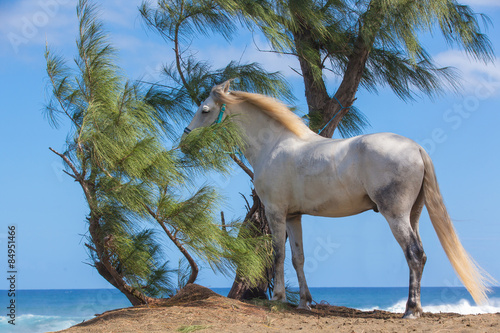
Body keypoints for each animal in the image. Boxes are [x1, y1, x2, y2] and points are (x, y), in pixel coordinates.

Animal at [184, 80, 492, 316]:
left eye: (205, 109)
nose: (186, 139)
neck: (273, 145)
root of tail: (415, 148)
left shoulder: (275, 212)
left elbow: (278, 254)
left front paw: (279, 299)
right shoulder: (294, 216)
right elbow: (298, 257)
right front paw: (304, 303)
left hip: (396, 216)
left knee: (414, 254)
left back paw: (410, 311)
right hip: (413, 215)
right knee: (421, 254)